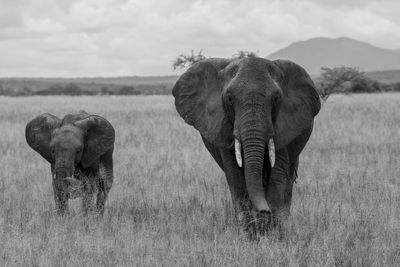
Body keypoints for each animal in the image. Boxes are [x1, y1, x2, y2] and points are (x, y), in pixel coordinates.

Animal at [173, 57, 322, 237]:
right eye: (229, 98)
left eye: (276, 98)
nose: (265, 211)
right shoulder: (223, 128)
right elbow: (236, 178)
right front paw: (250, 235)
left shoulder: (284, 126)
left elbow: (277, 177)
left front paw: (273, 234)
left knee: (288, 182)